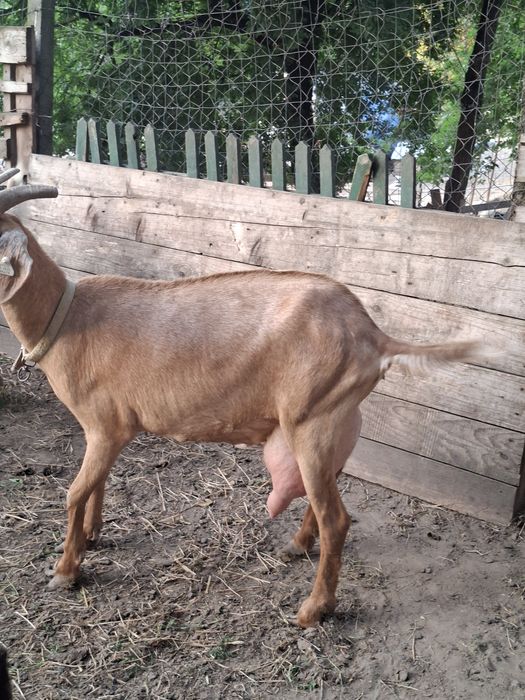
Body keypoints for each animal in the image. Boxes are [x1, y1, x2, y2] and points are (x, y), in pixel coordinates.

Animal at [0, 170, 481, 627]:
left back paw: (314, 610)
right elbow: (95, 486)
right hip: (335, 424)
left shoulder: (107, 425)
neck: (66, 318)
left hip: (311, 422)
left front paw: (65, 571)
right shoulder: (101, 430)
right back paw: (296, 546)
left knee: (337, 519)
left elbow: (74, 492)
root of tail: (373, 336)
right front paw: (93, 537)